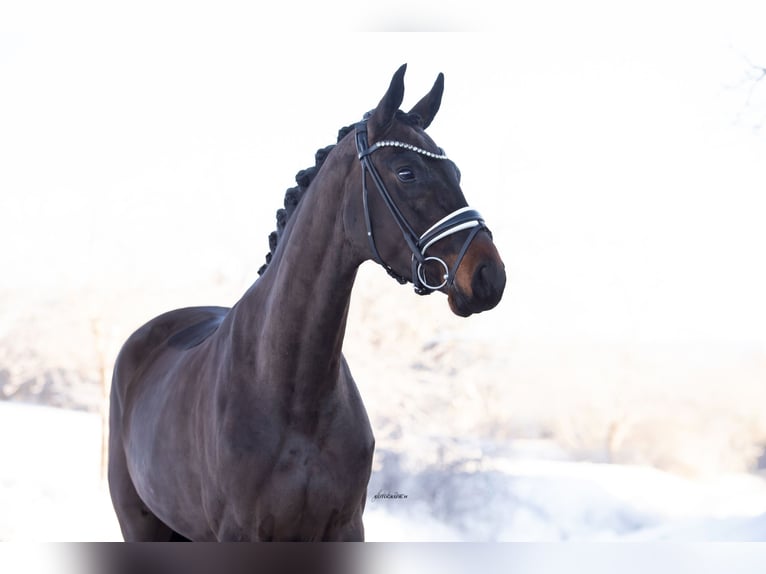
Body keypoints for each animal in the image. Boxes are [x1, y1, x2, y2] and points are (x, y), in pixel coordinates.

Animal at [108, 64, 506, 541]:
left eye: (456, 173)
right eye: (407, 172)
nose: (489, 276)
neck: (292, 391)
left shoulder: (346, 527)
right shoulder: (239, 533)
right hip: (140, 523)